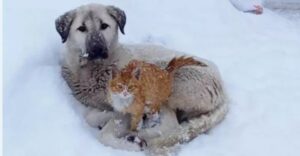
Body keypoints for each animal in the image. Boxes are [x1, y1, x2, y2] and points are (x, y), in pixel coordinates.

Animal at [56, 3, 229, 154]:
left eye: (104, 25)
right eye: (82, 28)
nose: (97, 49)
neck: (96, 71)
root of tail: (224, 90)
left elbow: (103, 132)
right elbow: (90, 116)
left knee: (171, 125)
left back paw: (137, 135)